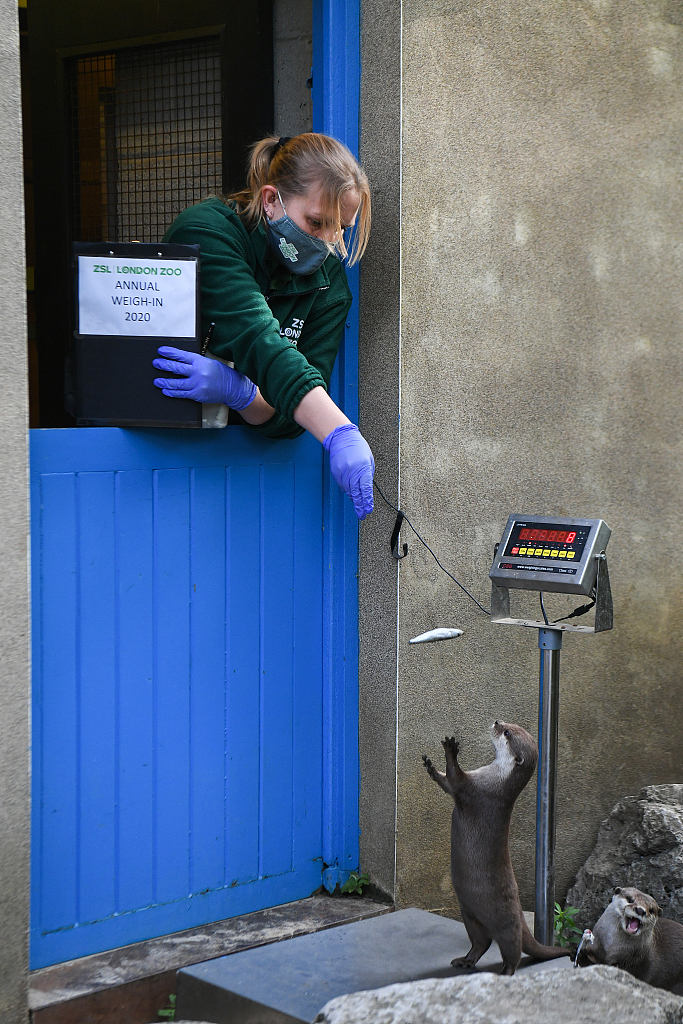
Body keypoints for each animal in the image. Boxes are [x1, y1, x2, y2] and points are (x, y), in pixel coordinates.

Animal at [421, 720, 573, 974]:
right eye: (510, 725)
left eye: (507, 732)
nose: (498, 722)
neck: (498, 781)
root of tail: (521, 913)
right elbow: (446, 783)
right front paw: (431, 767)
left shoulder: (475, 789)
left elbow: (455, 778)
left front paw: (451, 751)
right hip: (470, 915)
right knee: (481, 942)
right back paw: (466, 960)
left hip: (506, 923)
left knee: (513, 949)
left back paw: (506, 971)